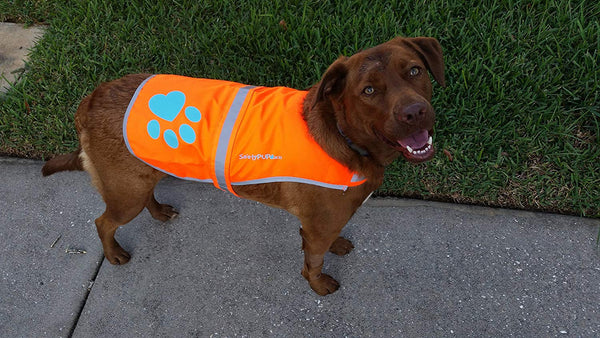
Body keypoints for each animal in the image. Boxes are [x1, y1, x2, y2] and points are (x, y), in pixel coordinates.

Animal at [43, 37, 446, 294]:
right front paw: (318, 285)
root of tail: (89, 101)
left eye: (413, 71)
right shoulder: (318, 225)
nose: (415, 113)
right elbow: (313, 261)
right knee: (103, 222)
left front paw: (337, 246)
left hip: (144, 172)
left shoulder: (321, 222)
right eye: (368, 91)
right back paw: (113, 254)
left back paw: (158, 212)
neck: (343, 135)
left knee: (146, 196)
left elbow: (325, 240)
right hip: (125, 191)